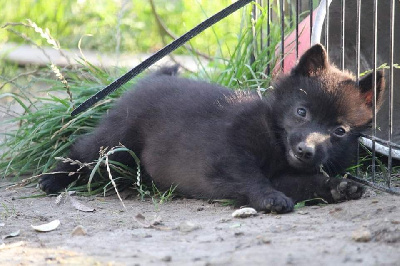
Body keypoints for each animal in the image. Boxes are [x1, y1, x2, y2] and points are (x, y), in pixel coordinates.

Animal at [39, 44, 384, 214]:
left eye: (339, 131)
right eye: (302, 112)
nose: (305, 150)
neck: (275, 138)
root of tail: (151, 79)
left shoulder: (288, 175)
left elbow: (309, 182)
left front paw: (339, 187)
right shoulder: (229, 158)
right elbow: (252, 177)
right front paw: (270, 199)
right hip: (116, 140)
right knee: (81, 151)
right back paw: (52, 179)